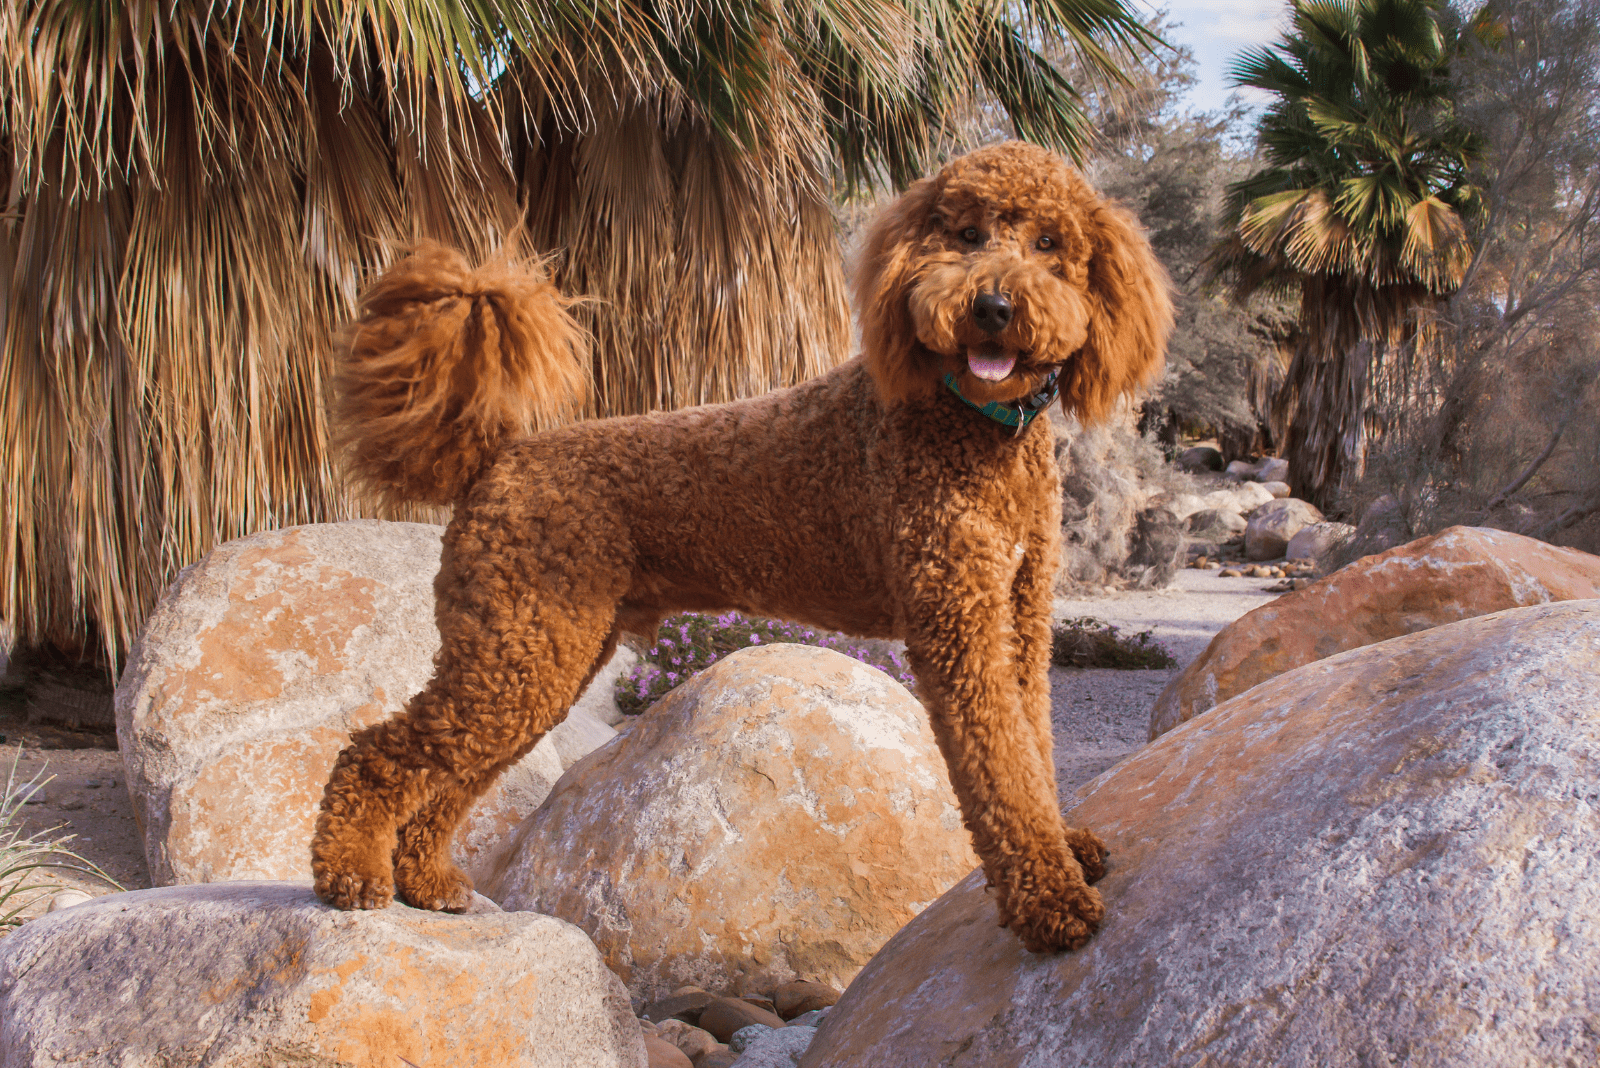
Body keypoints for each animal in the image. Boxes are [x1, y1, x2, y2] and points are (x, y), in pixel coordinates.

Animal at [312, 141, 1171, 952]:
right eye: (965, 235)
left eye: (1051, 242)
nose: (991, 306)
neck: (973, 423)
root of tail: (495, 457)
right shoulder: (959, 623)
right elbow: (1001, 769)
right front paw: (1051, 902)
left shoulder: (1018, 620)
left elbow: (1034, 746)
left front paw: (1068, 846)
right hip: (516, 651)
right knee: (375, 753)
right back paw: (349, 874)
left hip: (534, 656)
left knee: (453, 775)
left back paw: (426, 879)